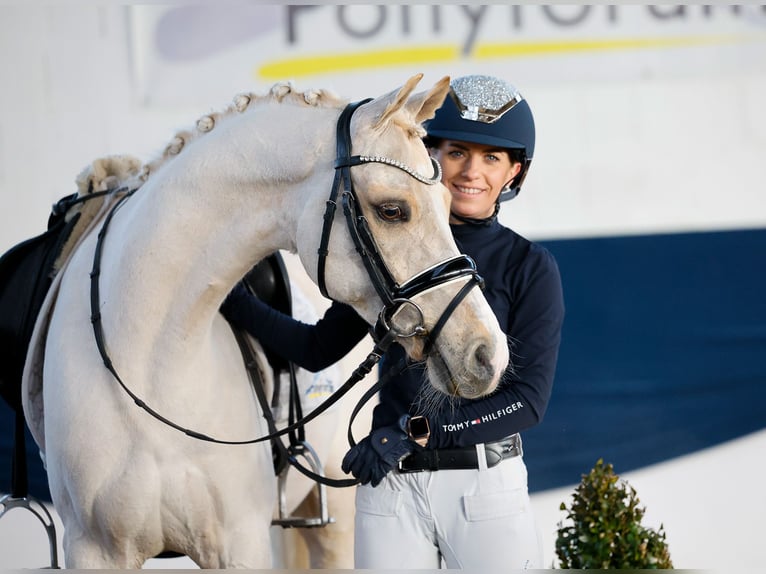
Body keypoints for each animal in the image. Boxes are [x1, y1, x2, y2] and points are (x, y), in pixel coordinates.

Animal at [19, 74, 510, 568]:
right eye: (393, 210)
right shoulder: (94, 550)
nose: (487, 353)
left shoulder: (238, 546)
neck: (147, 360)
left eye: (447, 201)